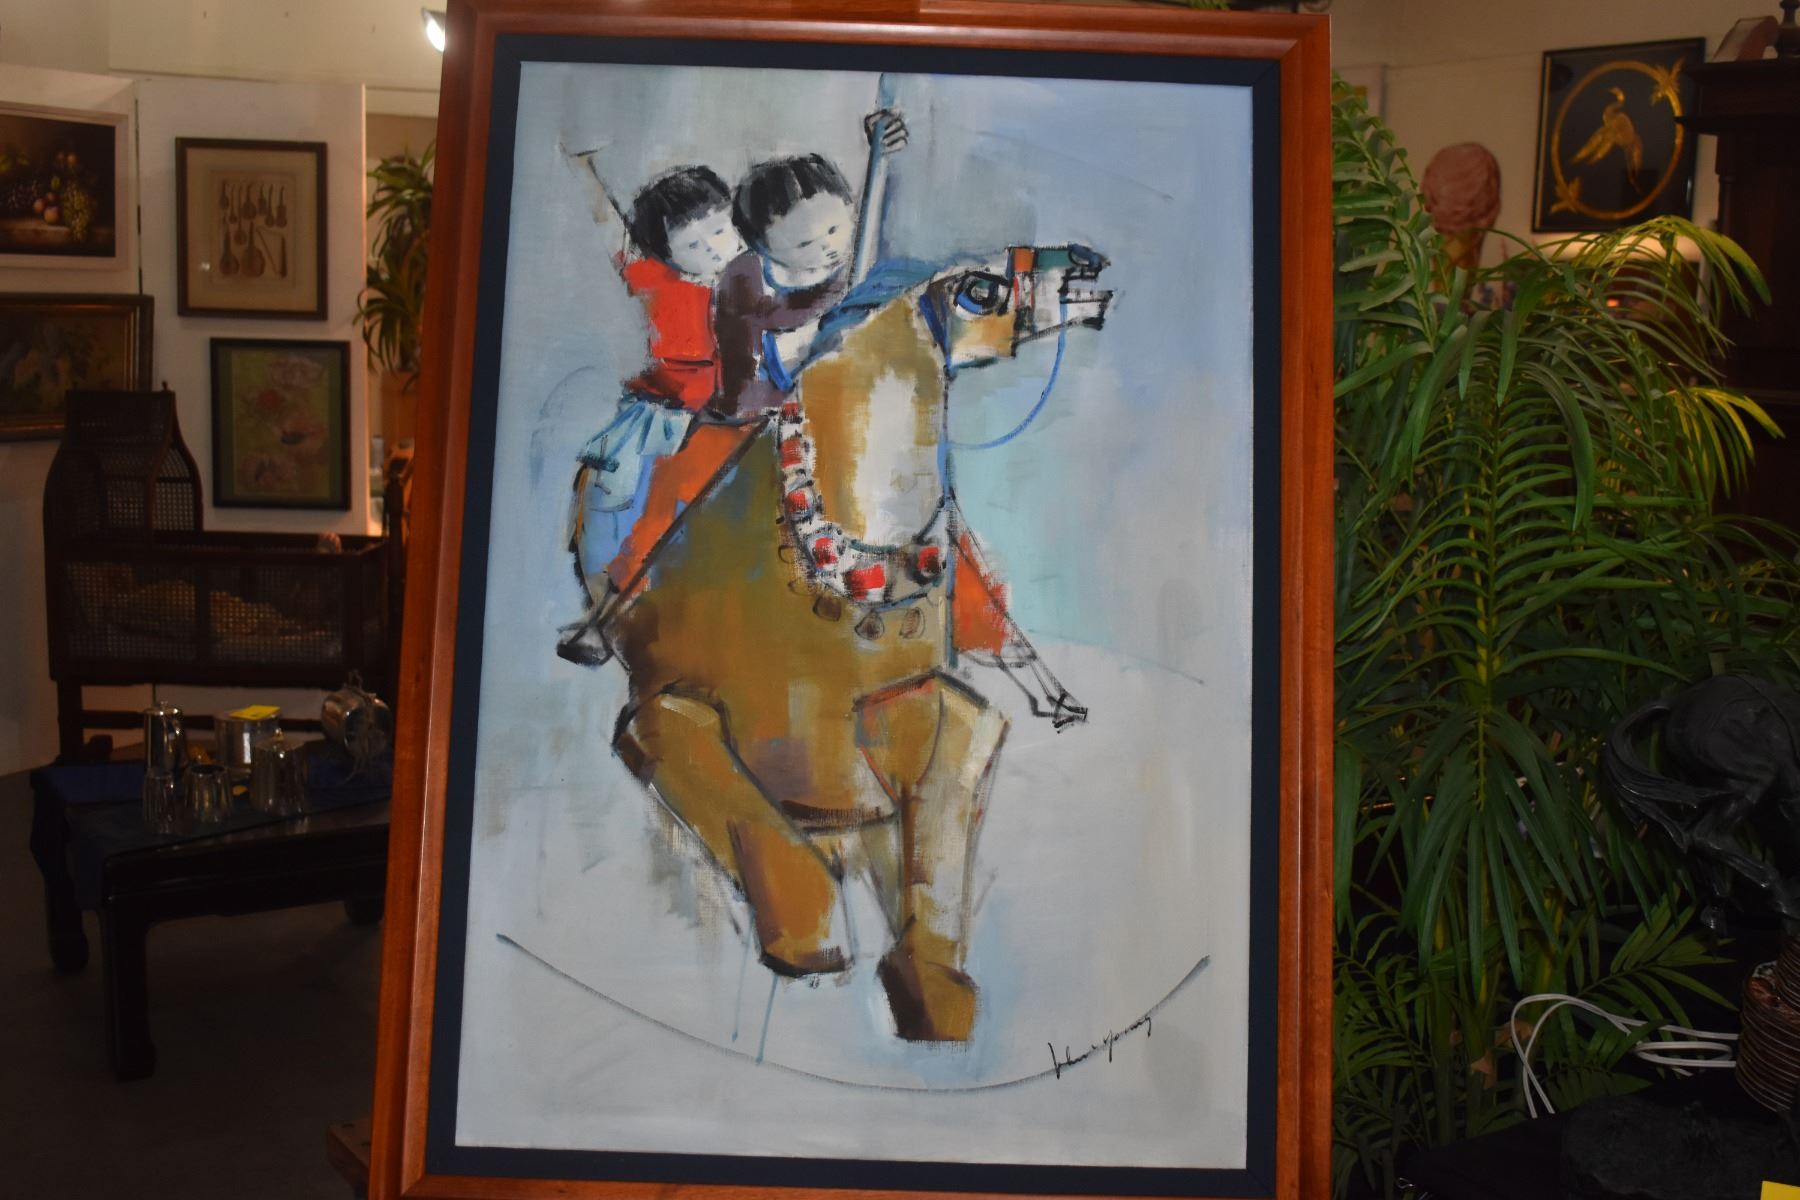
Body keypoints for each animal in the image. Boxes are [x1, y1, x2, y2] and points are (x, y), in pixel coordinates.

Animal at [576, 245, 1110, 1041]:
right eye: (979, 290)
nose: (1088, 266)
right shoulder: (656, 717)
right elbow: (755, 815)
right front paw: (812, 941)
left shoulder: (941, 711)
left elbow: (937, 836)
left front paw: (935, 991)